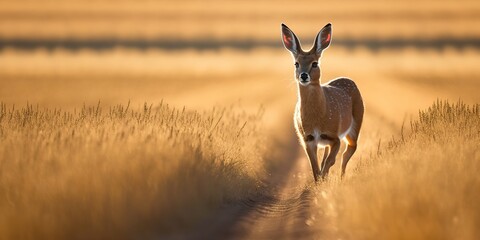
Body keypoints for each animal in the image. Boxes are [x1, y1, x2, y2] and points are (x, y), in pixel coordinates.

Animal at [282, 23, 364, 182]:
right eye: (296, 64)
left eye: (315, 63)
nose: (304, 75)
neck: (317, 118)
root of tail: (350, 80)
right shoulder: (307, 139)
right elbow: (315, 167)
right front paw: (319, 183)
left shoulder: (334, 137)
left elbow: (329, 162)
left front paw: (324, 183)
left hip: (356, 123)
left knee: (349, 150)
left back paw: (342, 178)